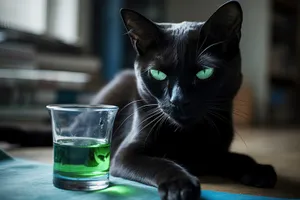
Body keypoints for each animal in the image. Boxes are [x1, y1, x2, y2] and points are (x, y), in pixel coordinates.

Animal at [83, 0, 278, 199]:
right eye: (158, 74)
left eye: (204, 72)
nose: (178, 99)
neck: (186, 135)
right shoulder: (125, 155)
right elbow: (160, 162)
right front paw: (180, 184)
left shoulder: (214, 153)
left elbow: (236, 157)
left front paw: (259, 169)